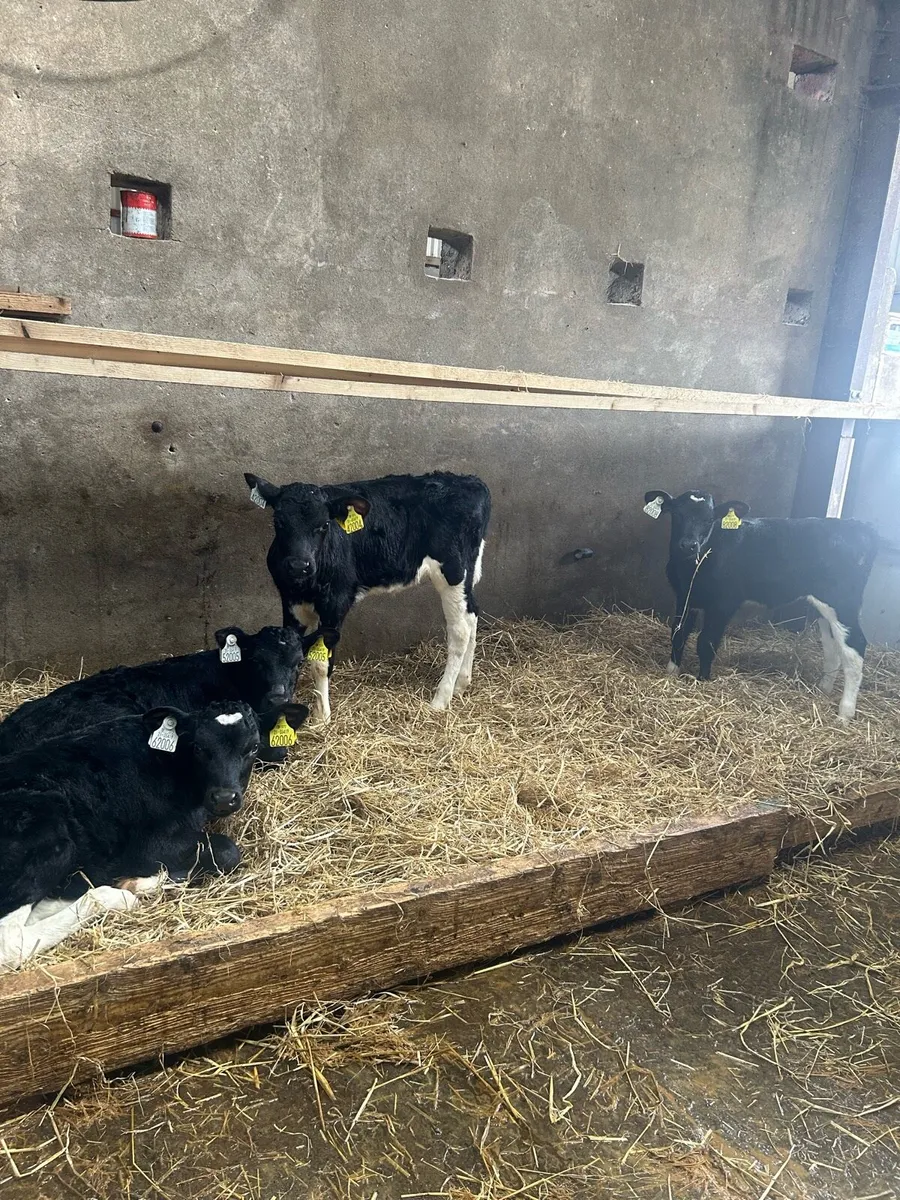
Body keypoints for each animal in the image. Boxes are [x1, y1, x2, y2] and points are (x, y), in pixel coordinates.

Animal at [0, 698, 310, 924]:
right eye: (198, 747)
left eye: (253, 747)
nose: (224, 798)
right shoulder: (149, 847)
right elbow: (226, 851)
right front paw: (140, 881)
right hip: (51, 841)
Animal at [244, 470, 491, 721]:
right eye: (279, 522)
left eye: (324, 525)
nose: (298, 566)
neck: (305, 584)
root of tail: (470, 480)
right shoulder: (290, 602)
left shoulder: (335, 602)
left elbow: (321, 663)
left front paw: (322, 716)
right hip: (466, 575)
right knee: (472, 614)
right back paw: (462, 683)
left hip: (453, 572)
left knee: (460, 631)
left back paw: (441, 699)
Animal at [643, 489, 878, 722]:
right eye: (677, 514)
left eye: (709, 519)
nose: (689, 544)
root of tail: (859, 527)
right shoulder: (685, 598)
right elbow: (678, 634)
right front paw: (671, 672)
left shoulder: (723, 603)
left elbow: (706, 642)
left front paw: (702, 680)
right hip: (825, 609)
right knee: (833, 647)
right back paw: (823, 690)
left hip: (842, 602)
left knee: (855, 648)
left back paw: (844, 714)